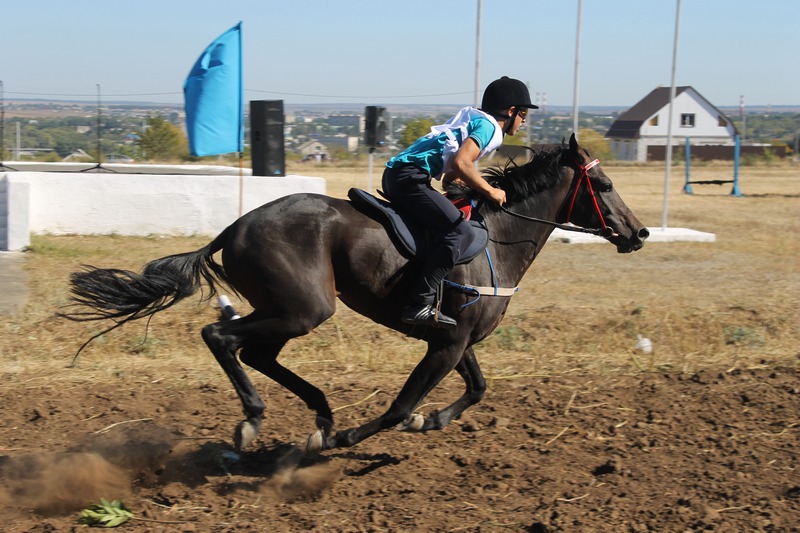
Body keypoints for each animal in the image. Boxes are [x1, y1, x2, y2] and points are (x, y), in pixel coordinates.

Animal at [64, 133, 649, 454]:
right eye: (603, 186)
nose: (638, 232)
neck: (500, 238)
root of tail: (233, 229)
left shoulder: (457, 342)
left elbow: (478, 389)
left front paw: (429, 420)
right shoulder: (446, 343)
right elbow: (398, 407)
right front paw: (354, 437)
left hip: (285, 308)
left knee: (255, 352)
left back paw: (319, 412)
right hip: (304, 308)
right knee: (220, 336)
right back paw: (259, 420)